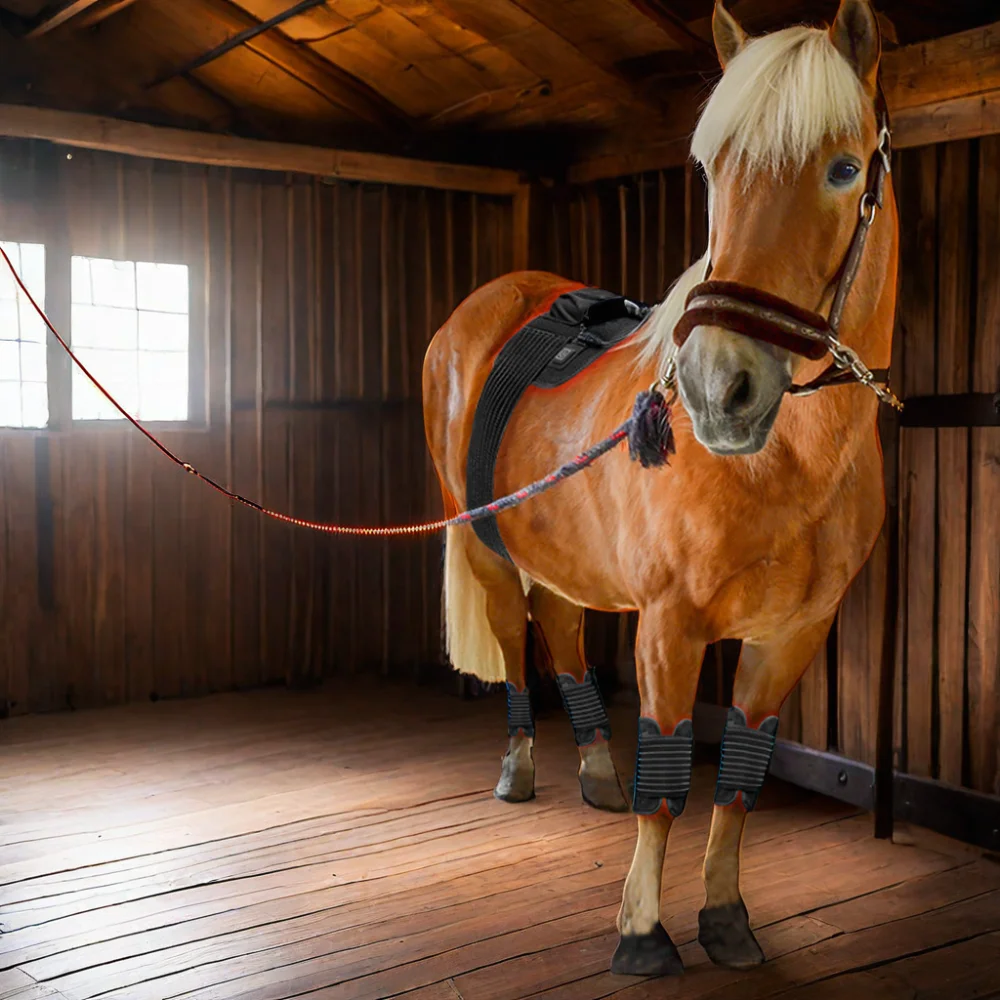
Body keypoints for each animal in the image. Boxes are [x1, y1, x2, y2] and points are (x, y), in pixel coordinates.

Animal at [422, 0, 898, 977]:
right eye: (713, 171)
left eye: (843, 169)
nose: (719, 389)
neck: (785, 463)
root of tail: (478, 309)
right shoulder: (670, 626)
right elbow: (670, 779)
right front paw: (641, 930)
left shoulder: (792, 634)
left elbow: (742, 779)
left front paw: (726, 918)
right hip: (485, 545)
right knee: (516, 640)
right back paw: (521, 768)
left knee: (562, 632)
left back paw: (595, 773)